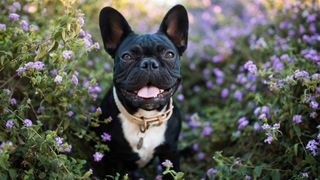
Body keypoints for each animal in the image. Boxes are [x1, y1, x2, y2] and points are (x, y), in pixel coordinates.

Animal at [92, 4, 188, 179]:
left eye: (169, 54)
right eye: (127, 57)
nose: (149, 63)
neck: (145, 119)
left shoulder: (170, 152)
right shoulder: (113, 159)